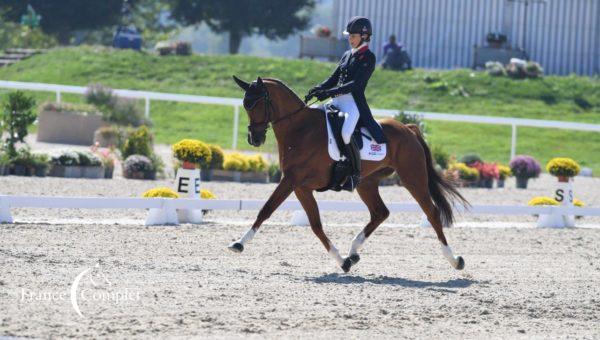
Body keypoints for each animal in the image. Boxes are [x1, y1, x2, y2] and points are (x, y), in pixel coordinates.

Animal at [227, 75, 466, 272]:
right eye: (245, 105)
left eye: (257, 104)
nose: (254, 139)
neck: (300, 129)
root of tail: (408, 128)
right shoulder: (300, 186)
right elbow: (314, 224)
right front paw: (343, 261)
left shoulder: (291, 181)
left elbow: (268, 210)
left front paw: (239, 243)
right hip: (366, 183)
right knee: (380, 212)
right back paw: (353, 252)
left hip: (413, 178)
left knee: (432, 213)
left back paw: (454, 260)